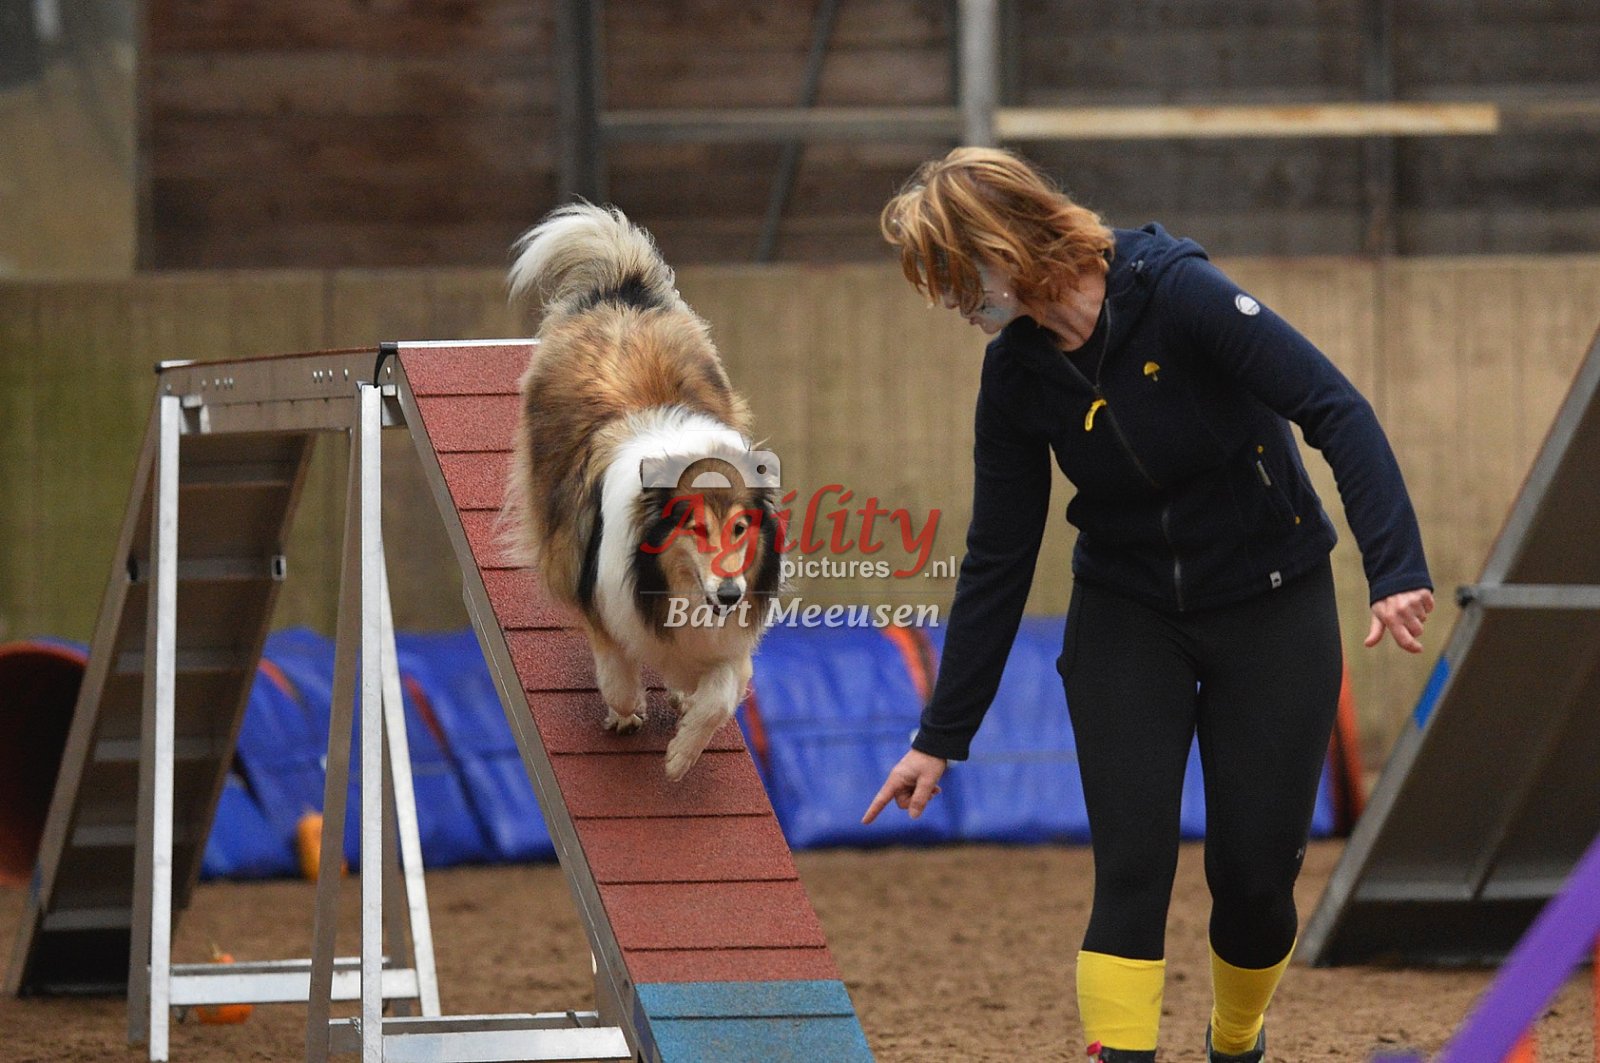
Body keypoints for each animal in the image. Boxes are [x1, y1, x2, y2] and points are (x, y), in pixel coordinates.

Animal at [501, 203, 783, 781]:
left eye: (741, 528)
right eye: (695, 528)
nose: (729, 594)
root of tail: (622, 288)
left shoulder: (730, 643)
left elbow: (720, 694)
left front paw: (682, 751)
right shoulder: (602, 591)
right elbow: (617, 672)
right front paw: (629, 713)